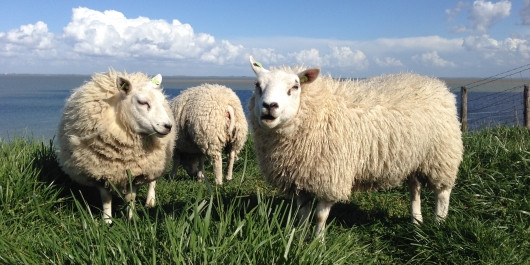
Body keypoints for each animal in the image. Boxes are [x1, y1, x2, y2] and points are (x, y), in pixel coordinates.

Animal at [57, 69, 175, 223]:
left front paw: (131, 219)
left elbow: (131, 197)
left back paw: (150, 201)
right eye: (142, 102)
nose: (168, 126)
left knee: (152, 182)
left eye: (162, 102)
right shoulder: (100, 171)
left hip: (156, 162)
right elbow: (106, 198)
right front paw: (107, 221)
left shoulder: (137, 171)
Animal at [245, 56, 460, 237]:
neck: (320, 110)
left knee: (443, 193)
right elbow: (303, 213)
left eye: (295, 86)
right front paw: (298, 236)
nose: (269, 106)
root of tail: (436, 83)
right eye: (257, 85)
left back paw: (439, 224)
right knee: (414, 188)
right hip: (414, 157)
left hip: (441, 155)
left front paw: (317, 243)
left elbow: (320, 216)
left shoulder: (331, 176)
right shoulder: (299, 177)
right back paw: (416, 221)